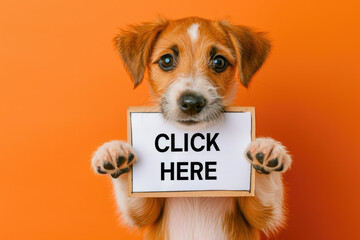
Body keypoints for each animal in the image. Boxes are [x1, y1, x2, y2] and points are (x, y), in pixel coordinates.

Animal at [91, 17, 292, 240]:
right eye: (166, 61)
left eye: (219, 62)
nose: (192, 103)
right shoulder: (145, 211)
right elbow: (135, 202)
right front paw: (115, 152)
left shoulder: (257, 213)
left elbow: (266, 200)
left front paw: (267, 150)